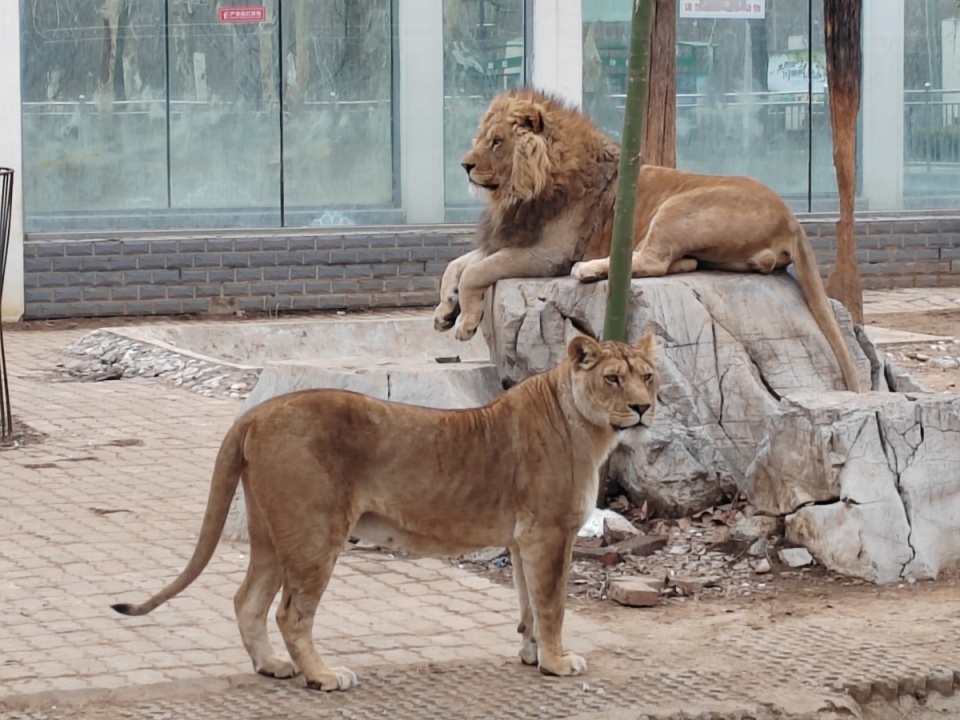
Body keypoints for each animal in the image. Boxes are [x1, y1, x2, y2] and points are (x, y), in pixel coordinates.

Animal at [109, 334, 656, 688]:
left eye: (648, 376)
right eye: (613, 379)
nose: (644, 408)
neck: (585, 424)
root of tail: (256, 413)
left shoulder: (523, 538)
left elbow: (527, 605)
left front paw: (532, 654)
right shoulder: (550, 531)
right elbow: (552, 604)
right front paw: (558, 663)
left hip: (270, 533)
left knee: (248, 601)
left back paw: (271, 666)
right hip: (315, 533)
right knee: (290, 612)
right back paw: (323, 676)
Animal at [436, 90, 864, 396]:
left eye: (496, 141)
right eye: (481, 138)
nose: (464, 165)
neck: (517, 194)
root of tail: (792, 217)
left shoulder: (549, 254)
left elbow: (477, 270)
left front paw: (466, 321)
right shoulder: (511, 237)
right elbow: (457, 265)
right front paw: (444, 310)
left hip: (678, 205)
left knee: (652, 261)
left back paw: (589, 269)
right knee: (671, 262)